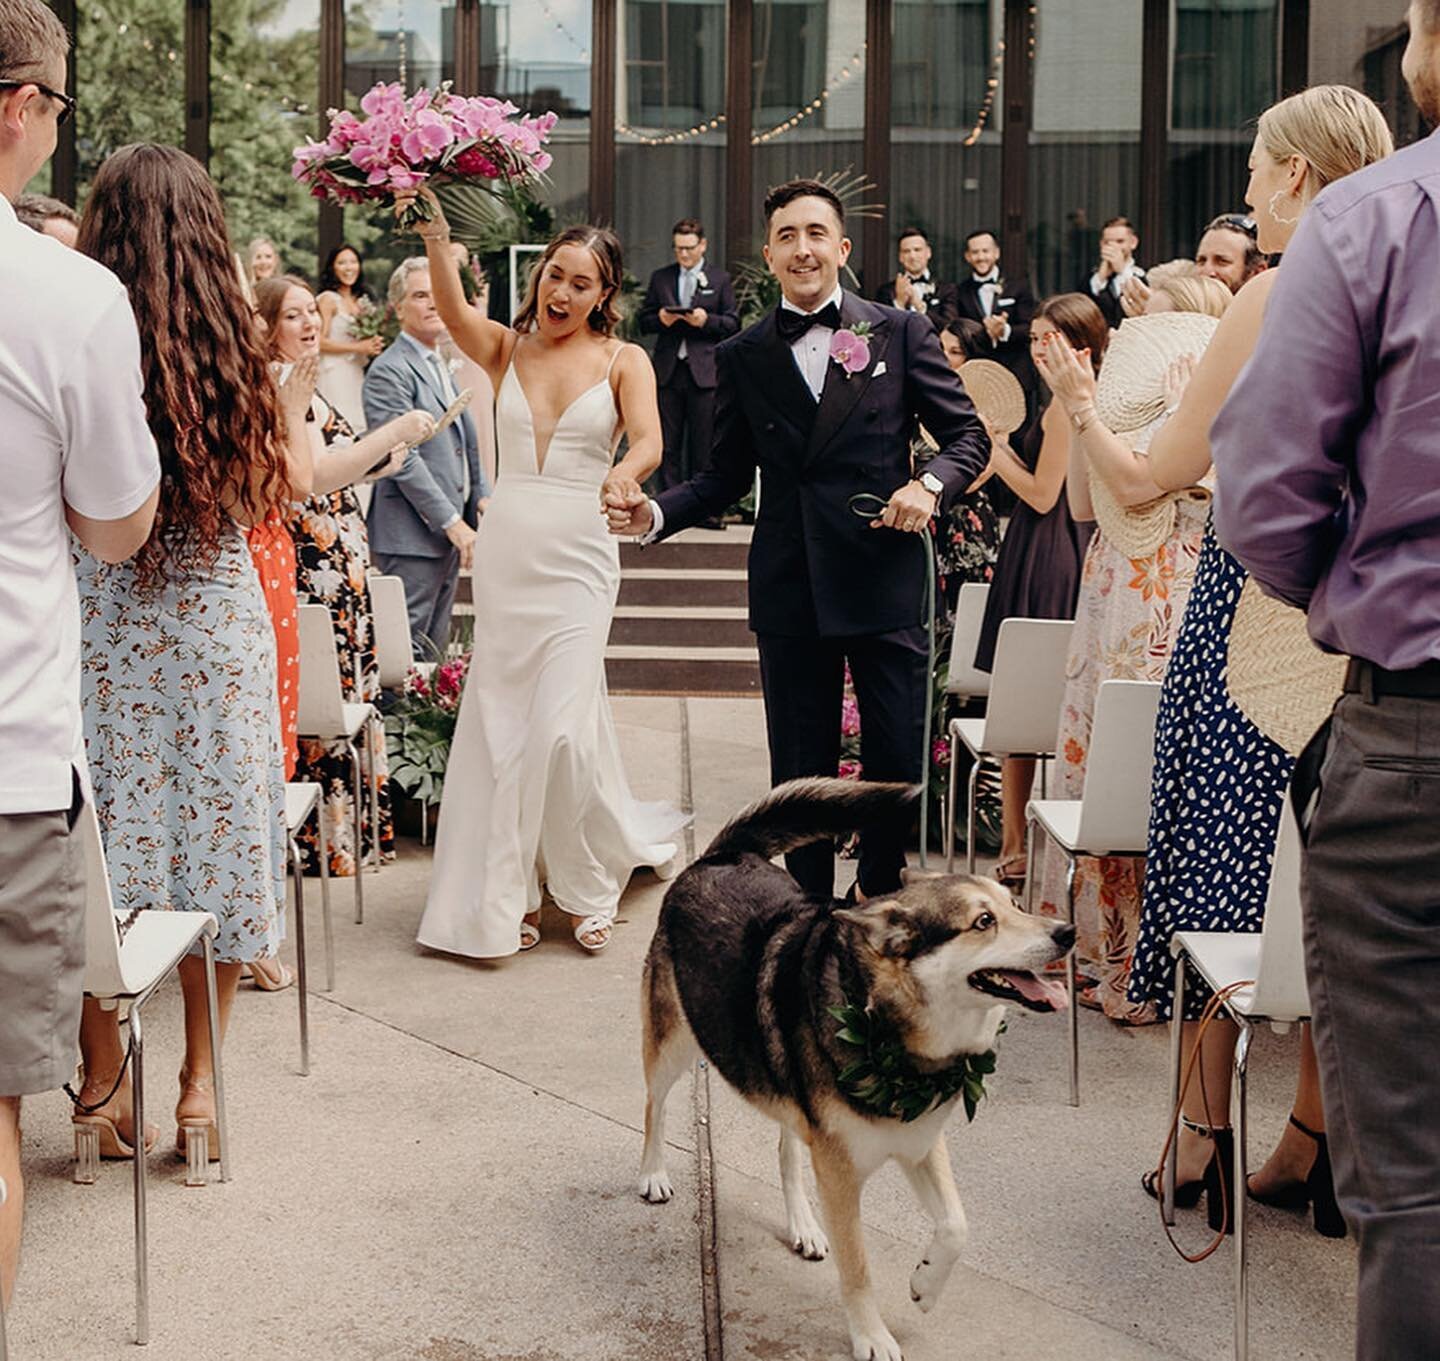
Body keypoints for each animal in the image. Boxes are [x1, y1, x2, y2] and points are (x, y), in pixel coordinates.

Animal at [639, 777, 1071, 1359]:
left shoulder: (920, 1142)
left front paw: (925, 1284)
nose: (1068, 932)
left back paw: (803, 1224)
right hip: (674, 1044)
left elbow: (957, 1225)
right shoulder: (841, 1176)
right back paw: (653, 1174)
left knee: (786, 1149)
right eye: (983, 922)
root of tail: (722, 855)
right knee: (655, 1106)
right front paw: (872, 1337)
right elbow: (859, 1268)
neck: (887, 1025)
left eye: (1015, 903)